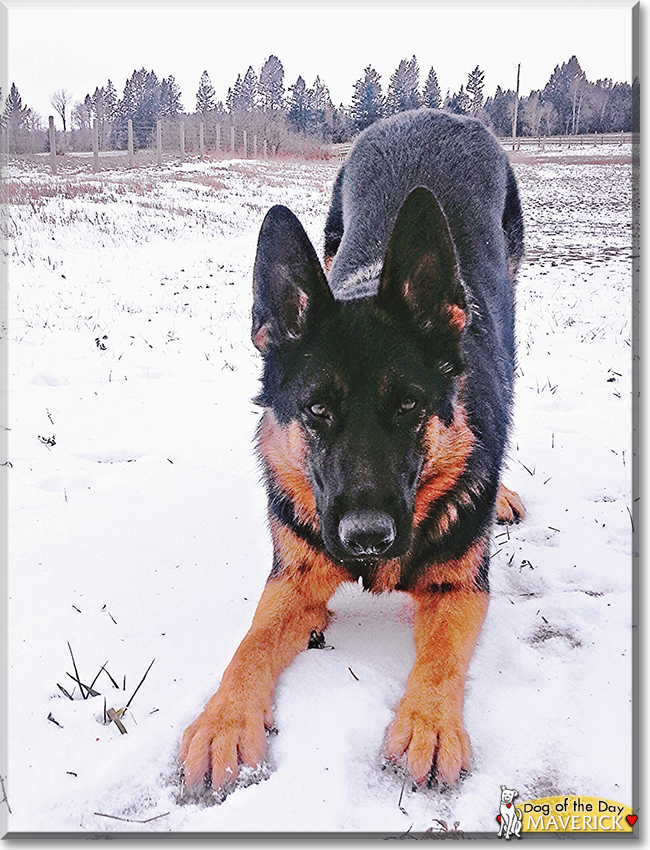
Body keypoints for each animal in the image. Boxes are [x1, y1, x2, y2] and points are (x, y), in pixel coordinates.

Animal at [180, 109, 524, 792]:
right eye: (318, 411)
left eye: (410, 406)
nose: (367, 539)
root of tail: (432, 113)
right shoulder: (292, 583)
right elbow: (249, 647)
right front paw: (224, 718)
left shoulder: (461, 591)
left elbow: (441, 660)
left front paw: (428, 723)